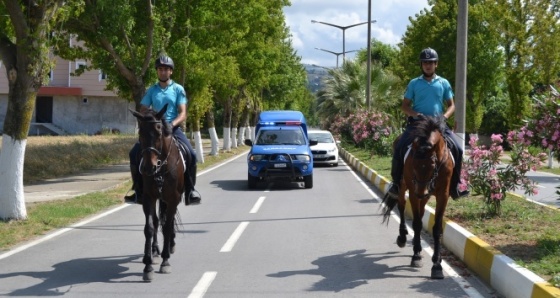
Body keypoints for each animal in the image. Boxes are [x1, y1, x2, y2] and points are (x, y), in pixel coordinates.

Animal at [130, 105, 188, 282]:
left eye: (159, 131)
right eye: (140, 133)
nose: (149, 167)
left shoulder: (173, 198)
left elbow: (167, 226)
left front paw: (165, 261)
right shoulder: (148, 197)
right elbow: (149, 227)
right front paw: (148, 266)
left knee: (167, 221)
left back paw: (169, 247)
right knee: (157, 221)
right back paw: (154, 251)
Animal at [380, 114, 456, 280]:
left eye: (433, 164)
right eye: (413, 163)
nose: (421, 191)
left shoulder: (442, 195)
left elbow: (437, 228)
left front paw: (437, 264)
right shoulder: (414, 193)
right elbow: (416, 224)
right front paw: (416, 256)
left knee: (420, 214)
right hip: (403, 187)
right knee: (402, 206)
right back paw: (403, 238)